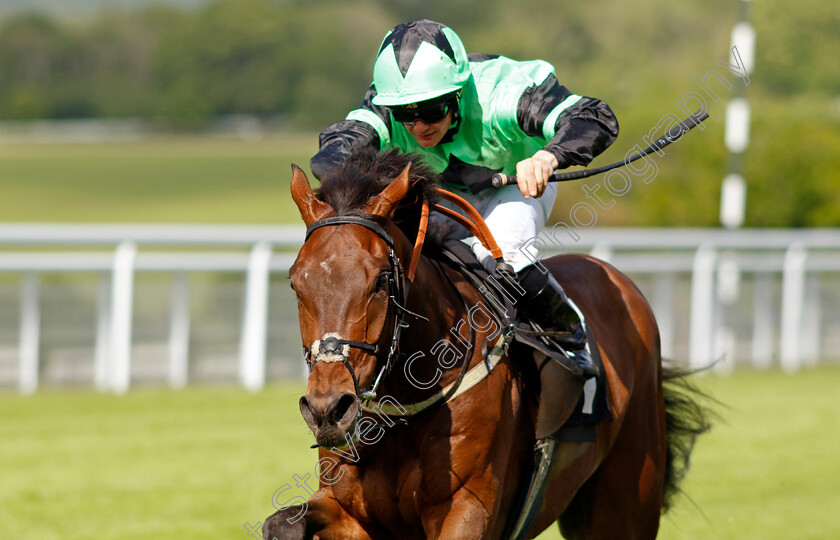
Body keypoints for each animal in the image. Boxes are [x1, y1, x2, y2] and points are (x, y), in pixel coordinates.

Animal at [262, 149, 708, 540]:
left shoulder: (467, 507)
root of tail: (615, 278)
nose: (327, 410)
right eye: (295, 281)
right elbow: (281, 523)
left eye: (380, 281)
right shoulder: (353, 512)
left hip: (624, 504)